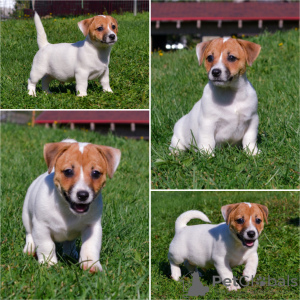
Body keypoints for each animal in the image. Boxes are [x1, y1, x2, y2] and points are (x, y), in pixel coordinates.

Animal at [22, 139, 120, 274]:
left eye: (96, 173)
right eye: (68, 171)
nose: (83, 195)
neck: (67, 210)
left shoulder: (92, 226)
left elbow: (90, 246)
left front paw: (91, 264)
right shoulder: (41, 226)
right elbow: (46, 245)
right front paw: (49, 264)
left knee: (69, 242)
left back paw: (71, 253)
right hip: (26, 215)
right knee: (29, 233)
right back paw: (30, 248)